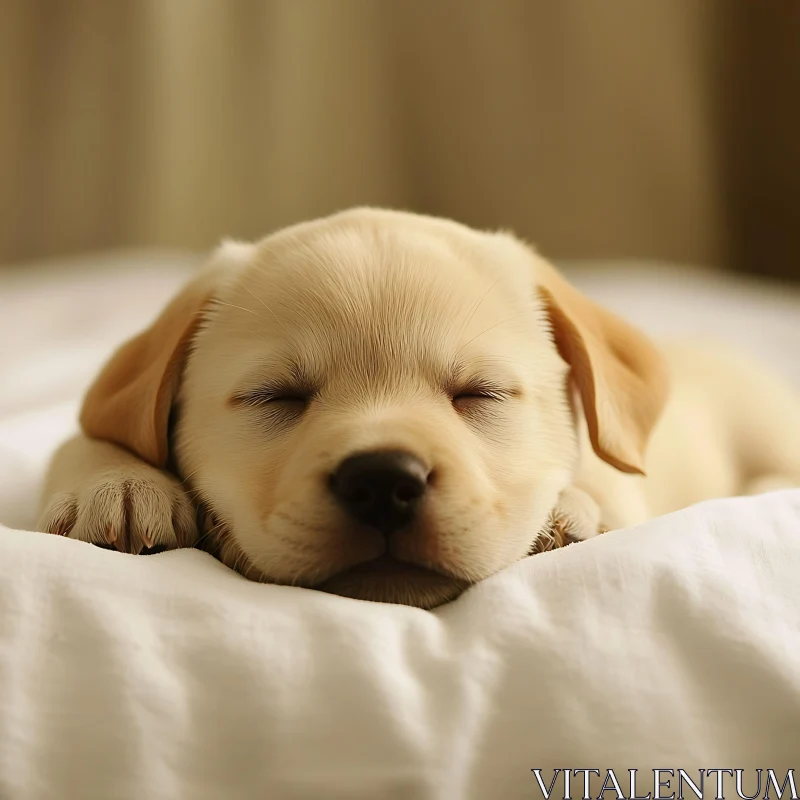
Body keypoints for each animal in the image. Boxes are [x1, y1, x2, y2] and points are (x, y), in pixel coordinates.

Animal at [36, 206, 800, 608]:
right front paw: (117, 483)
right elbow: (86, 432)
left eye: (479, 394)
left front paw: (569, 512)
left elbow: (603, 476)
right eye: (276, 396)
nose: (383, 481)